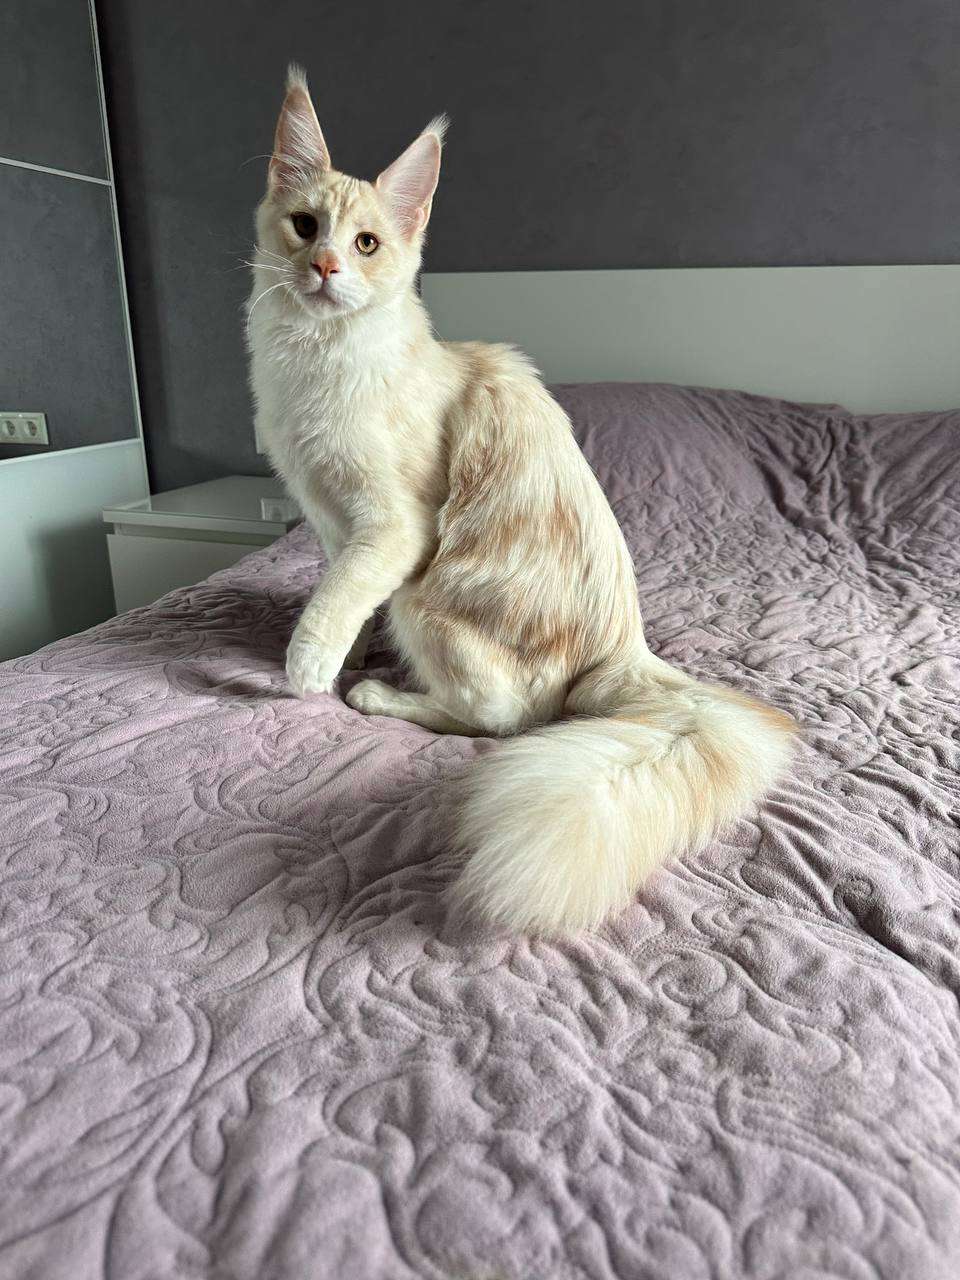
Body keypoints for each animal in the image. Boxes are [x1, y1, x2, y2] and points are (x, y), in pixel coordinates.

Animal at [246, 66, 796, 936]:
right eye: (305, 227)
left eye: (366, 244)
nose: (326, 266)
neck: (316, 362)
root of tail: (624, 647)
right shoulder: (333, 523)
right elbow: (343, 597)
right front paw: (344, 658)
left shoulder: (390, 529)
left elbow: (330, 608)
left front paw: (309, 672)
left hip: (427, 598)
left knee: (500, 718)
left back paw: (383, 695)